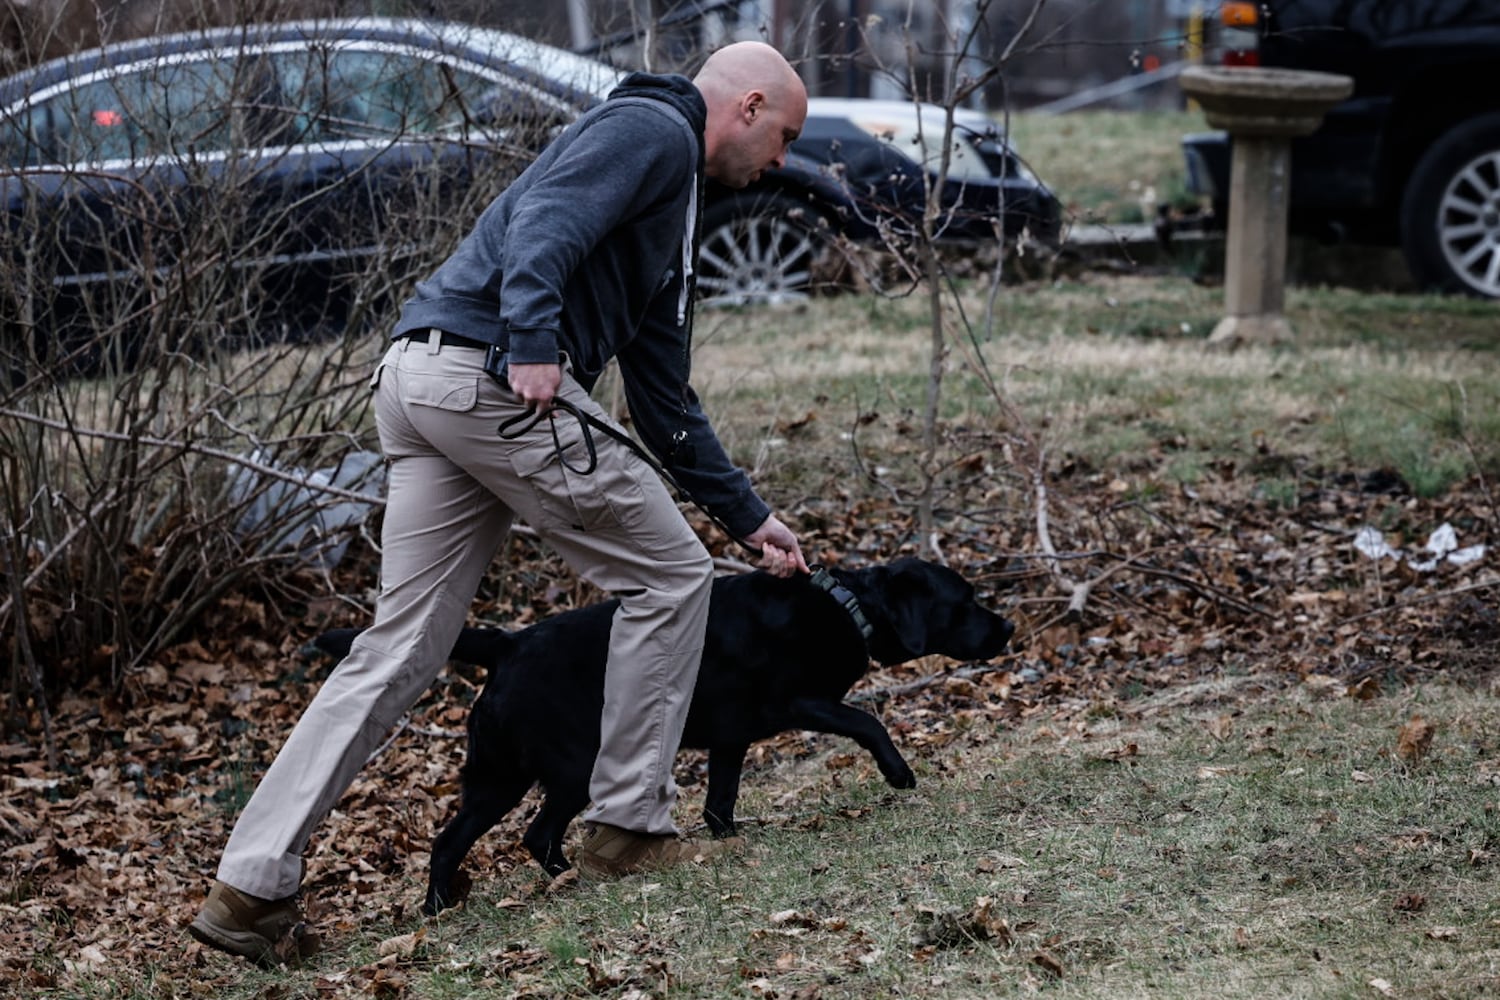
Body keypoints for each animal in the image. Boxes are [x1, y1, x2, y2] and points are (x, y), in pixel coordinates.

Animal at [312, 554, 1014, 917]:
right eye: (966, 600)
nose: (1007, 629)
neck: (847, 608)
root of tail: (508, 643)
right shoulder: (797, 702)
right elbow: (866, 719)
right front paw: (899, 772)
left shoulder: (733, 737)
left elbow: (721, 802)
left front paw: (726, 844)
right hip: (552, 768)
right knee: (477, 838)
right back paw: (455, 906)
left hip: (514, 774)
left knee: (513, 836)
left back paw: (549, 883)